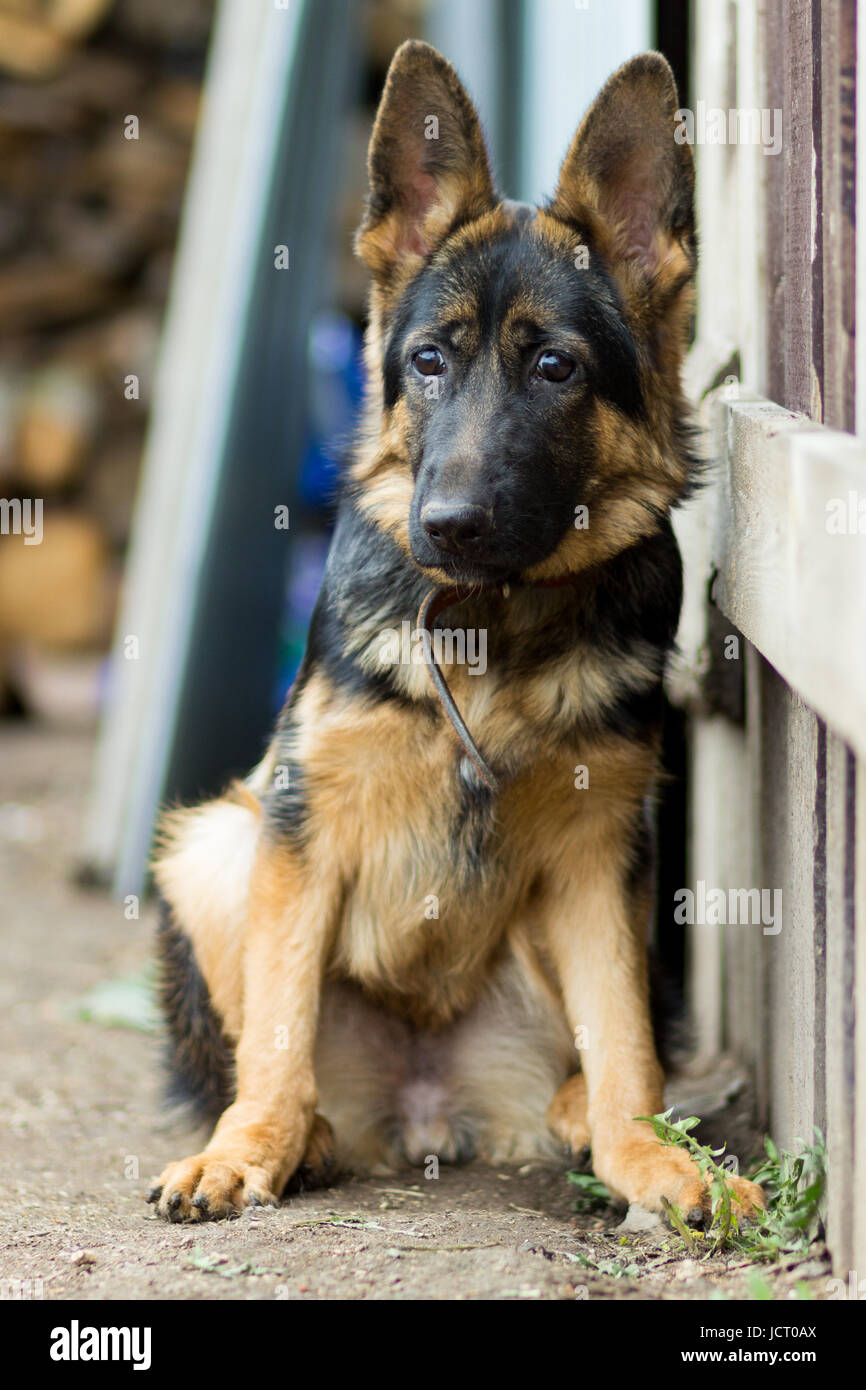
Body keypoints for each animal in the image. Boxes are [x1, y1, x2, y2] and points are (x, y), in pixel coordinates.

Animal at [150, 40, 767, 1228]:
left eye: (556, 368)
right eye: (428, 362)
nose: (447, 525)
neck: (488, 629)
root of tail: (427, 1107)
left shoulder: (601, 854)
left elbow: (625, 1037)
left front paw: (650, 1156)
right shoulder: (299, 827)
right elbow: (281, 1026)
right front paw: (247, 1150)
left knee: (607, 1049)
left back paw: (586, 1118)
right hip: (214, 845)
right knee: (270, 1050)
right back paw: (298, 1134)